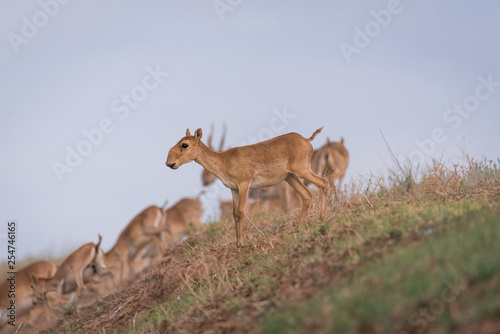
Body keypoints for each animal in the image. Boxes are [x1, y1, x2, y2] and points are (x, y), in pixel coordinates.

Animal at [165, 126, 328, 241]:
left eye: (184, 144)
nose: (169, 163)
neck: (224, 160)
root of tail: (306, 140)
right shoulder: (233, 189)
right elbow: (234, 213)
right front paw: (237, 242)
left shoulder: (244, 185)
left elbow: (241, 212)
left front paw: (242, 241)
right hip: (291, 177)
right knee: (306, 196)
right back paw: (297, 229)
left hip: (302, 171)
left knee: (324, 183)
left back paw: (321, 219)